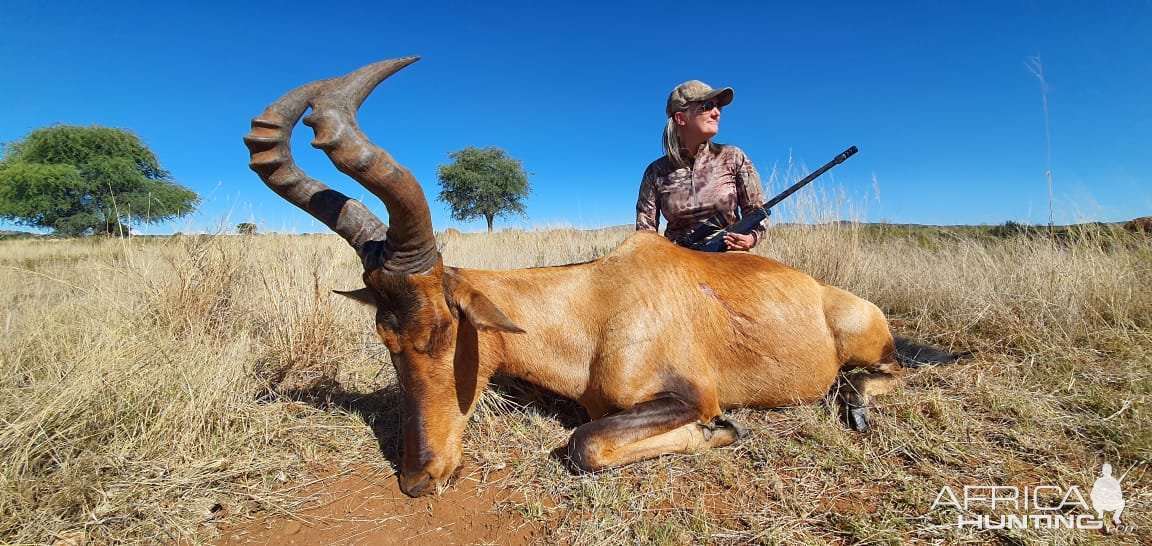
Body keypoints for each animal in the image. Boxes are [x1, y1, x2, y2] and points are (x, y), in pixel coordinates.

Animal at [245, 57, 963, 497]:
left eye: (446, 328)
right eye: (384, 337)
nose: (419, 478)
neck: (596, 300)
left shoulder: (687, 393)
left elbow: (586, 443)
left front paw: (725, 429)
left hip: (865, 338)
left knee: (892, 370)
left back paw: (855, 403)